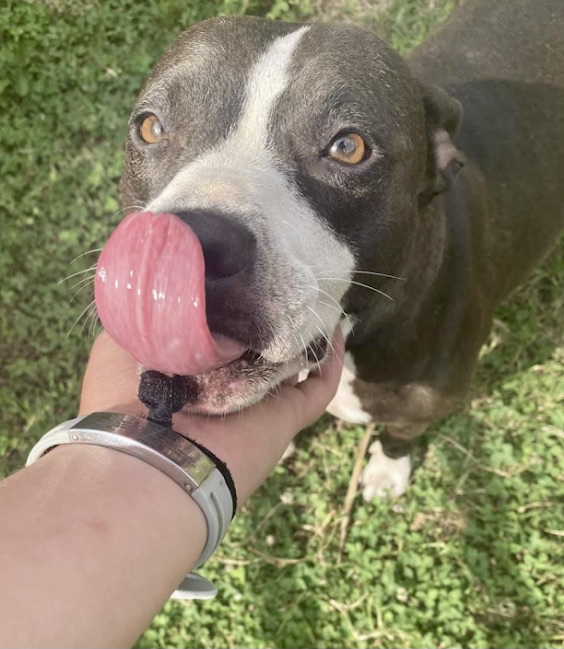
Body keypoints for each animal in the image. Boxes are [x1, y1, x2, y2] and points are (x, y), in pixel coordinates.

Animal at [115, 0, 564, 498]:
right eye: (151, 127)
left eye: (349, 146)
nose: (179, 246)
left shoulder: (426, 406)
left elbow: (399, 434)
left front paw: (388, 471)